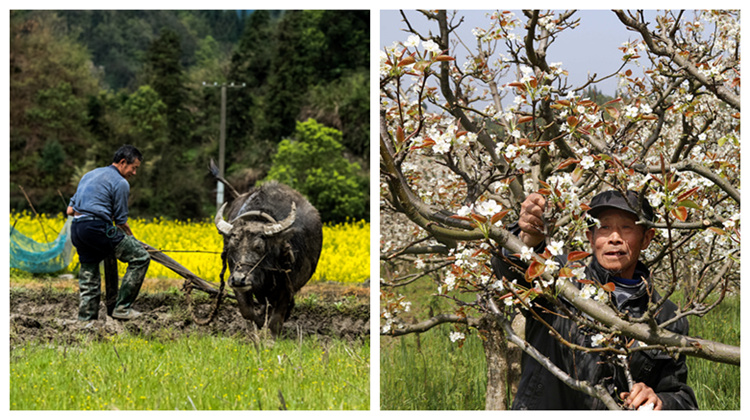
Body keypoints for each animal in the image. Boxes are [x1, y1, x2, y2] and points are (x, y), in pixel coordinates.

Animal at [216, 180, 324, 334]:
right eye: (231, 246)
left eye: (259, 247)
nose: (239, 279)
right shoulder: (235, 277)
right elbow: (246, 310)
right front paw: (260, 323)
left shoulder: (287, 285)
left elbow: (276, 319)